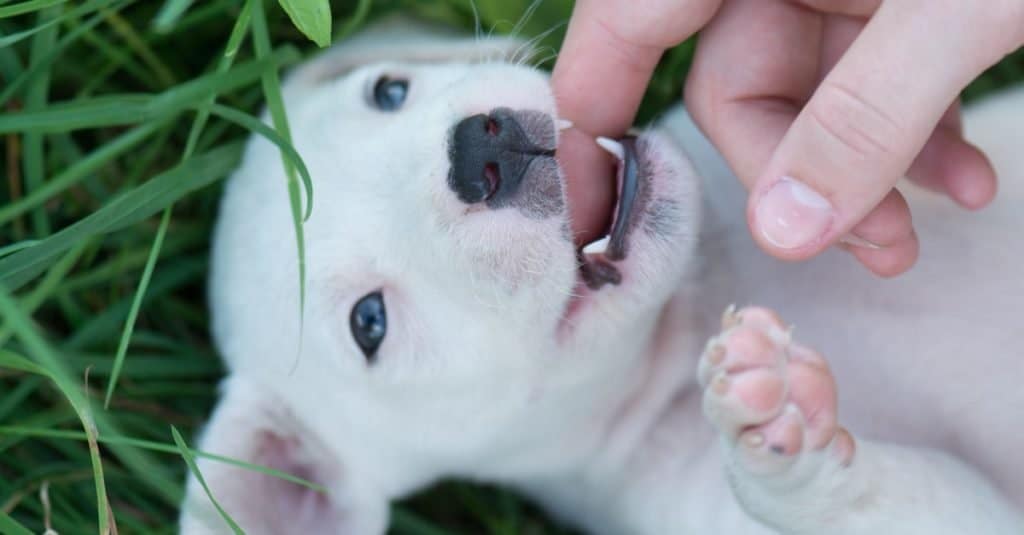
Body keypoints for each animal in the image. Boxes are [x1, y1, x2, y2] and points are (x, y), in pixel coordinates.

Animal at [178, 18, 1024, 528]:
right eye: (369, 322)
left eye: (389, 89)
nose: (480, 151)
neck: (698, 301)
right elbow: (902, 498)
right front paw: (782, 435)